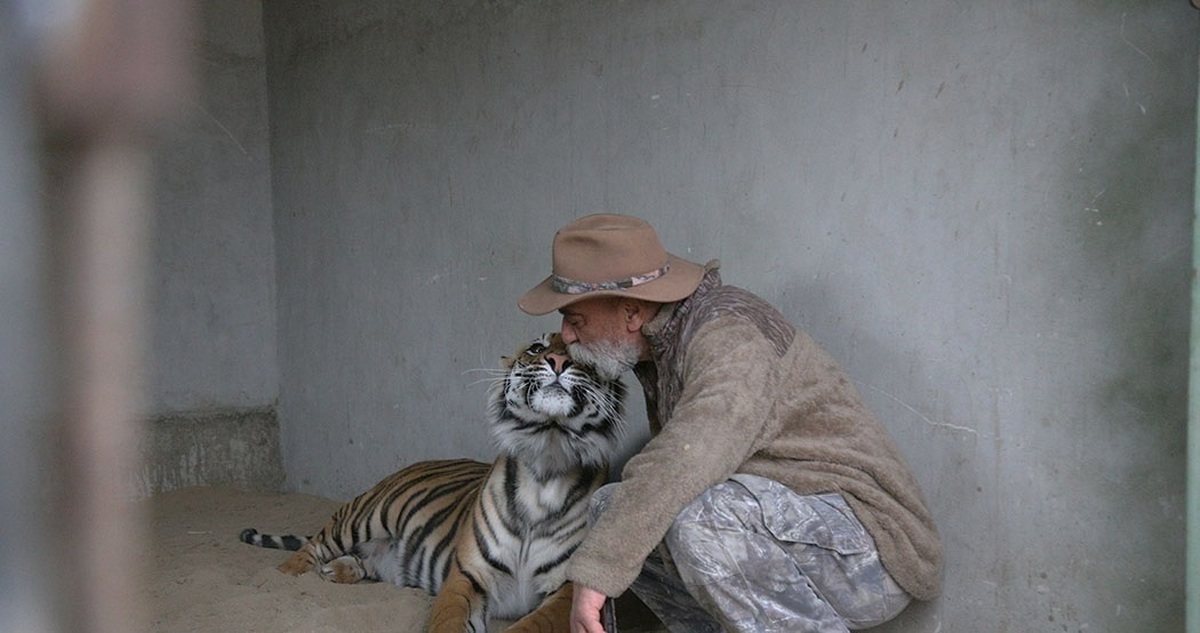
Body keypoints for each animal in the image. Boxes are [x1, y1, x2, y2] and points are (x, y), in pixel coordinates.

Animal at [236, 333, 628, 628]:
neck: (547, 455)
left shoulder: (567, 589)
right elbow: (448, 621)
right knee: (314, 545)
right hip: (364, 516)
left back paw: (338, 569)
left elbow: (531, 626)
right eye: (536, 347)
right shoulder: (468, 576)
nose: (559, 360)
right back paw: (284, 576)